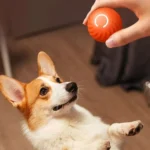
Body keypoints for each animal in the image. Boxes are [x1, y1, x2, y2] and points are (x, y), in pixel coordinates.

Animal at [0, 51, 144, 150]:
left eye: (58, 80)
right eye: (43, 91)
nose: (73, 85)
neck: (70, 120)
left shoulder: (115, 142)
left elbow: (112, 128)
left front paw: (130, 126)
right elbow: (78, 148)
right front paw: (97, 145)